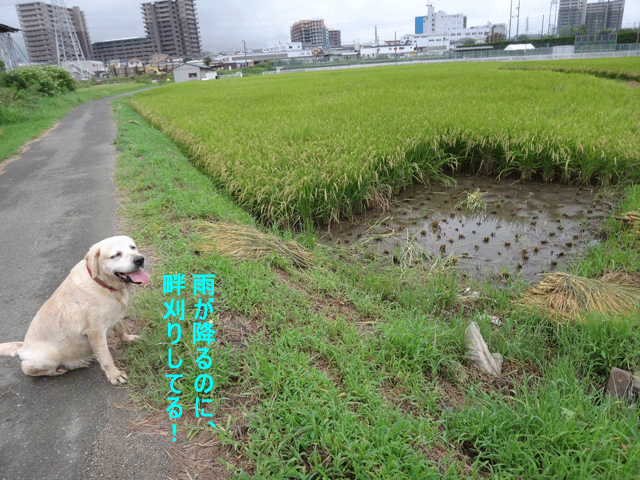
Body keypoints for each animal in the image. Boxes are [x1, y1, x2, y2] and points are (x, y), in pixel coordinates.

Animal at [0, 234, 151, 384]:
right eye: (116, 255)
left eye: (133, 247)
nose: (139, 259)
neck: (101, 283)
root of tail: (22, 347)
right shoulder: (95, 332)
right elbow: (106, 358)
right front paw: (114, 375)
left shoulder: (115, 316)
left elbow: (120, 330)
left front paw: (128, 339)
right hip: (45, 359)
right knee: (27, 368)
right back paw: (59, 369)